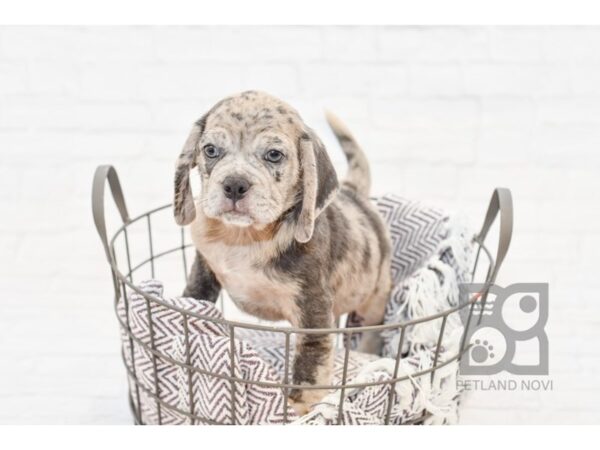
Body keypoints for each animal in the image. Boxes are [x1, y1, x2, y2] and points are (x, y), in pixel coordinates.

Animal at [172, 90, 394, 414]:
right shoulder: (203, 269)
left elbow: (310, 365)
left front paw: (299, 408)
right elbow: (194, 299)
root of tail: (354, 193)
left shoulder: (313, 309)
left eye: (274, 155)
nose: (234, 185)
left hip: (373, 303)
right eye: (211, 150)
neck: (246, 238)